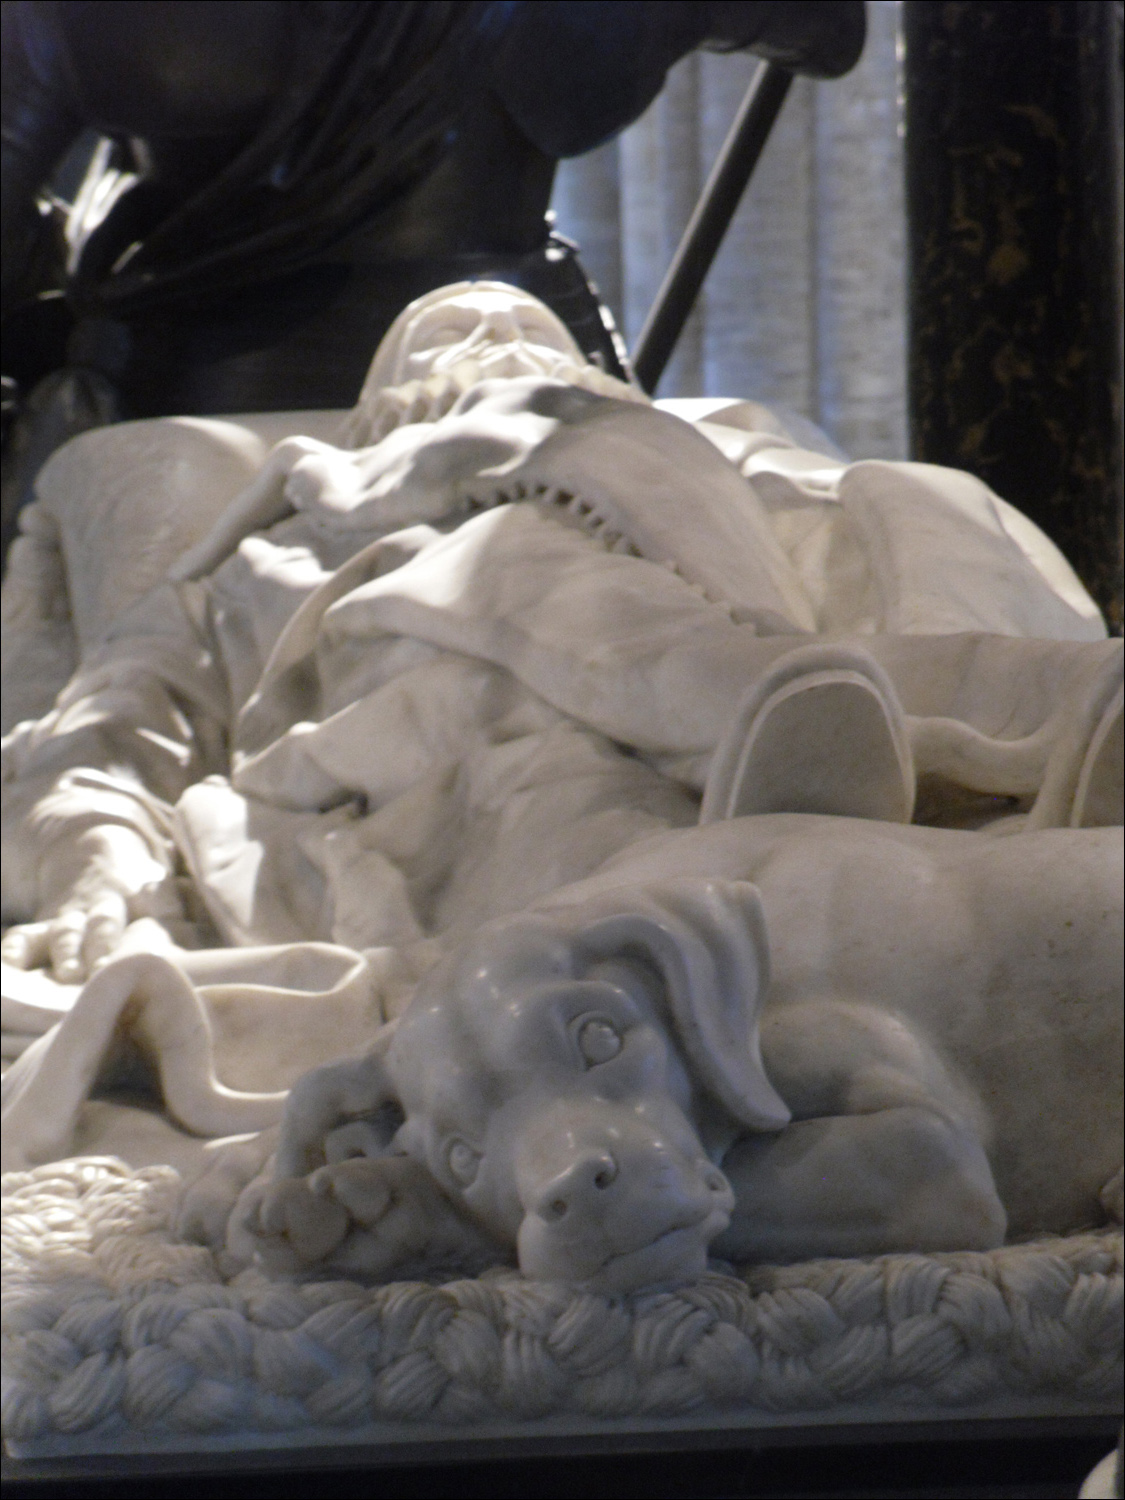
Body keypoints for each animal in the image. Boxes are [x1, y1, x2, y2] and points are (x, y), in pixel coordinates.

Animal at [222, 816, 1125, 1296]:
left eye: (600, 1037)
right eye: (460, 1154)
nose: (575, 1197)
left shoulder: (928, 1157)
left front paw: (377, 1210)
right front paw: (346, 1204)